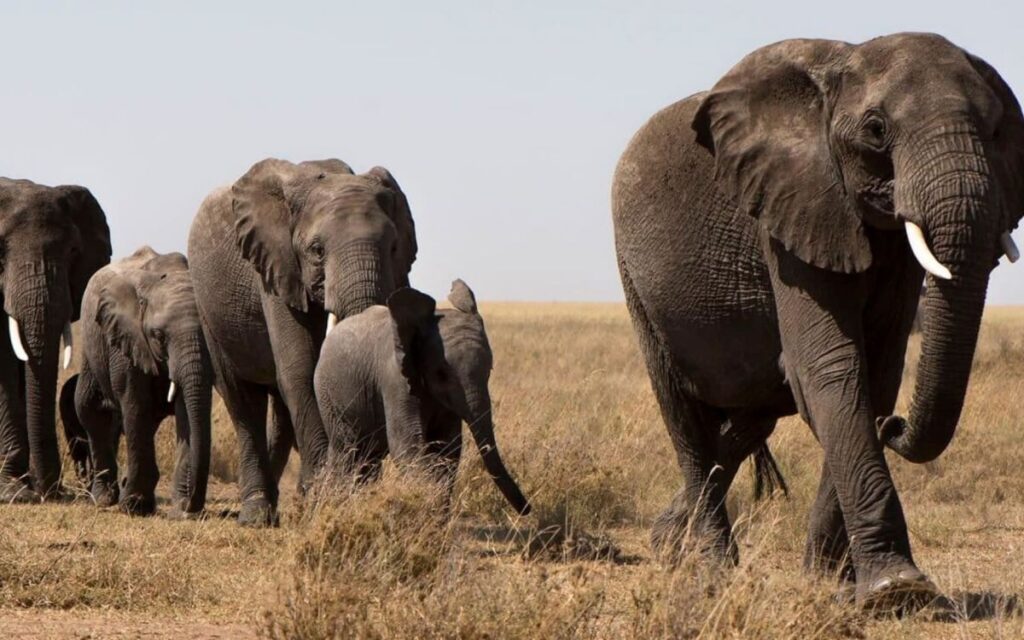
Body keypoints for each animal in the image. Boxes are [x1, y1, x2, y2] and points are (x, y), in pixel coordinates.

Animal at [59, 247, 212, 517]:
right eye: (158, 336)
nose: (192, 506)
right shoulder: (126, 340)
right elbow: (135, 403)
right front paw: (135, 506)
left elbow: (186, 411)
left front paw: (182, 508)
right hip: (93, 344)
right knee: (90, 409)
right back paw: (104, 498)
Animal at [188, 158, 417, 526]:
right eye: (317, 251)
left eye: (394, 247)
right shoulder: (275, 269)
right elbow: (301, 368)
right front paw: (325, 496)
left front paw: (338, 496)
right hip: (209, 310)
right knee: (241, 400)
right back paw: (256, 515)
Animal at [313, 280, 530, 515]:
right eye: (441, 374)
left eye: (489, 370)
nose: (528, 509)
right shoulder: (395, 380)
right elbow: (407, 446)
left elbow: (447, 449)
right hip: (328, 394)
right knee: (347, 452)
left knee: (367, 457)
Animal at [611, 33, 1024, 606]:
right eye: (876, 130)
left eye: (997, 130)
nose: (896, 426)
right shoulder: (789, 215)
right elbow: (830, 367)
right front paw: (897, 590)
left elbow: (876, 374)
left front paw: (830, 581)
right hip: (636, 283)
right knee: (683, 415)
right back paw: (711, 571)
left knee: (748, 421)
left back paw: (669, 544)